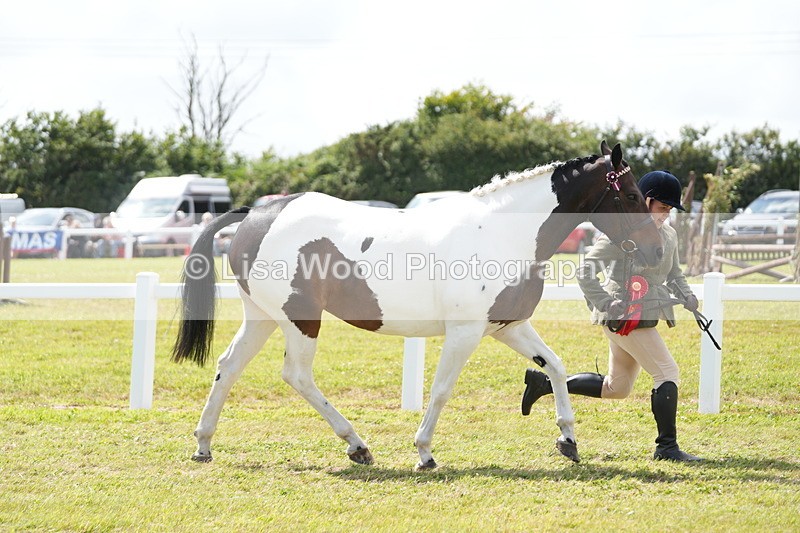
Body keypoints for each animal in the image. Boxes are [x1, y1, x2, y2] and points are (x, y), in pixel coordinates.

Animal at [172, 141, 663, 470]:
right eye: (630, 195)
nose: (656, 252)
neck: (500, 232)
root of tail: (257, 214)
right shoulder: (465, 333)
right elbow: (442, 389)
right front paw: (424, 452)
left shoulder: (508, 326)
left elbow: (556, 366)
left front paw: (568, 440)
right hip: (299, 320)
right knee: (296, 375)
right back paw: (356, 444)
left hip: (263, 318)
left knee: (228, 366)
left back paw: (203, 444)